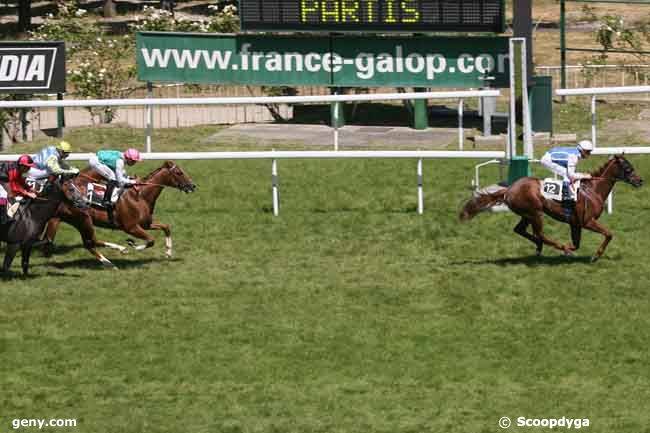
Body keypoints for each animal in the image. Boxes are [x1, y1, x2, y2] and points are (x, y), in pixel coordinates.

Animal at [43, 159, 195, 266]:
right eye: (179, 173)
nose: (192, 186)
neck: (140, 196)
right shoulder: (130, 227)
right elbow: (151, 240)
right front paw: (134, 245)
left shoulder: (146, 224)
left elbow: (166, 227)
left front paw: (168, 251)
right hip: (83, 219)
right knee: (90, 242)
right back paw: (115, 256)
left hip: (70, 220)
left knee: (87, 243)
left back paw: (110, 259)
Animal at [458, 155, 640, 264]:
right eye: (628, 168)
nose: (640, 181)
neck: (592, 190)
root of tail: (509, 189)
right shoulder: (587, 221)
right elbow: (609, 234)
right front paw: (595, 255)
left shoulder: (575, 223)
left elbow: (577, 244)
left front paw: (570, 250)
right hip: (535, 213)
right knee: (540, 234)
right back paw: (552, 247)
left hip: (527, 214)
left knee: (520, 230)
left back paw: (540, 247)